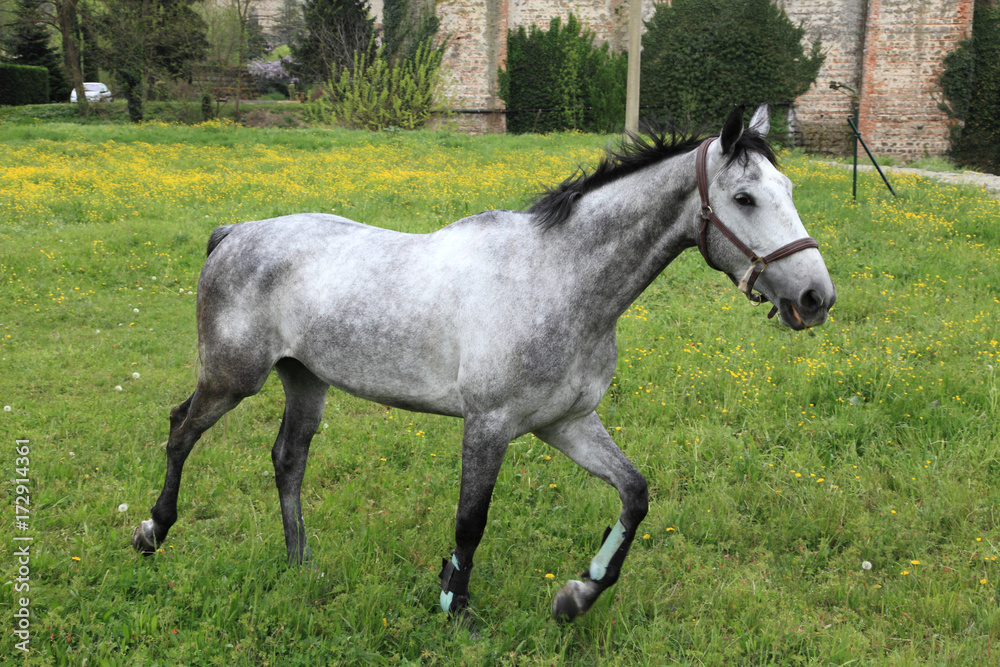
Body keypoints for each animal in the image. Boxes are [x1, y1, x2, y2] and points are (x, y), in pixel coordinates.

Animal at [133, 104, 836, 620]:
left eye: (789, 188)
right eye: (744, 198)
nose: (815, 297)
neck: (558, 282)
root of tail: (234, 233)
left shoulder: (566, 424)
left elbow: (635, 495)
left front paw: (576, 596)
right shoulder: (489, 426)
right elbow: (471, 520)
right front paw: (455, 603)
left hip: (305, 381)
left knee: (287, 458)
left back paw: (300, 562)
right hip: (233, 378)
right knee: (179, 430)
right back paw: (152, 533)